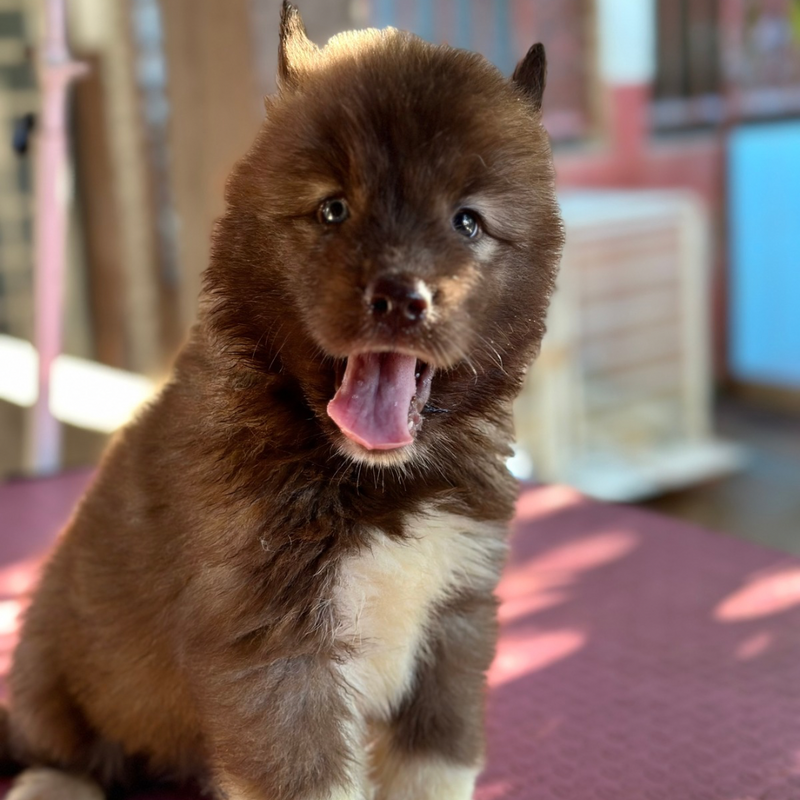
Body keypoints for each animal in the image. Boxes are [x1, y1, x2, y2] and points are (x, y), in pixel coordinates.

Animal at [1, 6, 564, 800]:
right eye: (334, 210)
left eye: (467, 221)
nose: (400, 297)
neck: (370, 478)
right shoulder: (276, 653)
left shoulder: (455, 617)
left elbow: (436, 761)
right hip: (53, 665)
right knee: (53, 747)